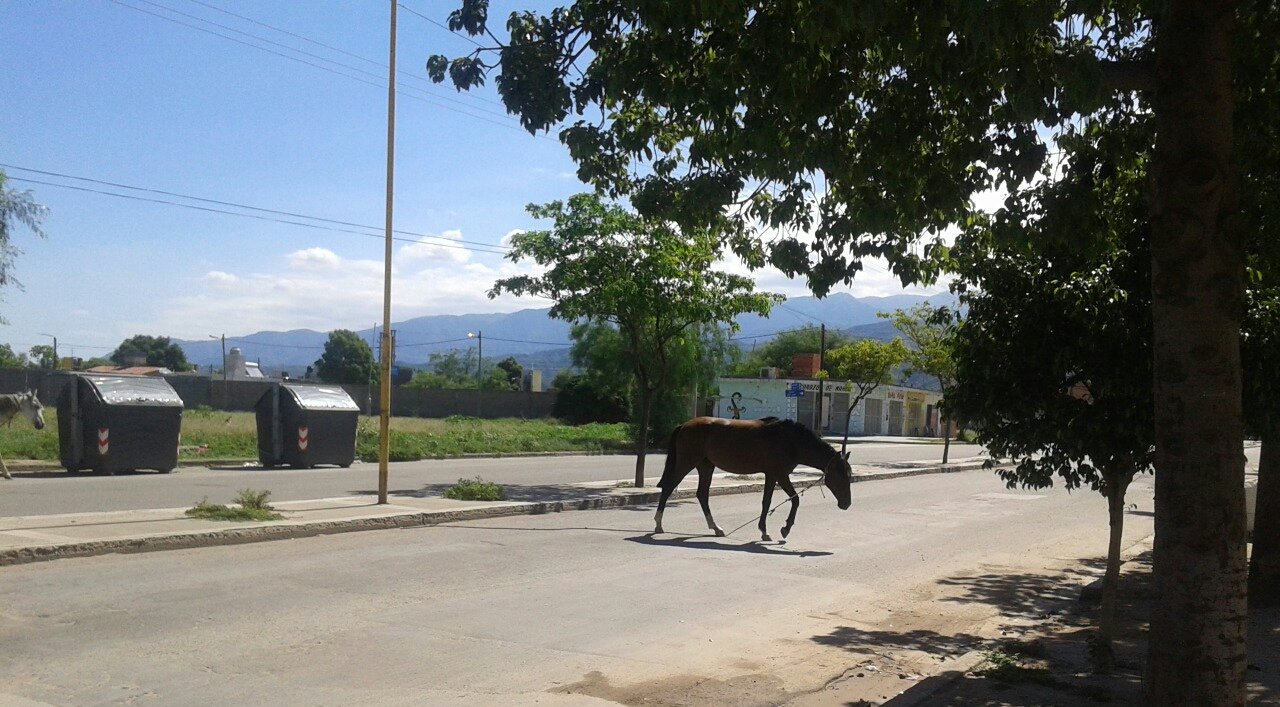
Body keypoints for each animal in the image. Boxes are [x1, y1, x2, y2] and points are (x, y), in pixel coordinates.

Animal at [655, 414, 855, 540]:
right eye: (841, 476)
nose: (846, 504)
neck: (791, 440)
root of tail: (684, 425)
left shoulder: (772, 475)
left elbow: (766, 502)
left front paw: (764, 531)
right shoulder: (780, 474)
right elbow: (795, 499)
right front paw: (785, 529)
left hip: (706, 466)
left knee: (702, 494)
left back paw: (716, 528)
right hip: (686, 463)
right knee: (668, 487)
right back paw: (658, 524)